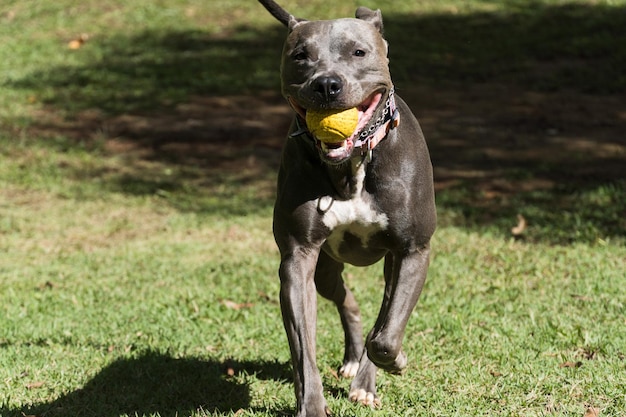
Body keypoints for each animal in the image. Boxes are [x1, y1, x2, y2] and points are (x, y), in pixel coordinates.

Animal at [256, 1, 436, 414]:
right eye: (301, 56)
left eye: (358, 52)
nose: (326, 84)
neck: (352, 165)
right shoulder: (297, 259)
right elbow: (303, 349)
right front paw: (311, 403)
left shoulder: (412, 251)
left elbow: (384, 334)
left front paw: (392, 363)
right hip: (325, 268)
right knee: (346, 301)